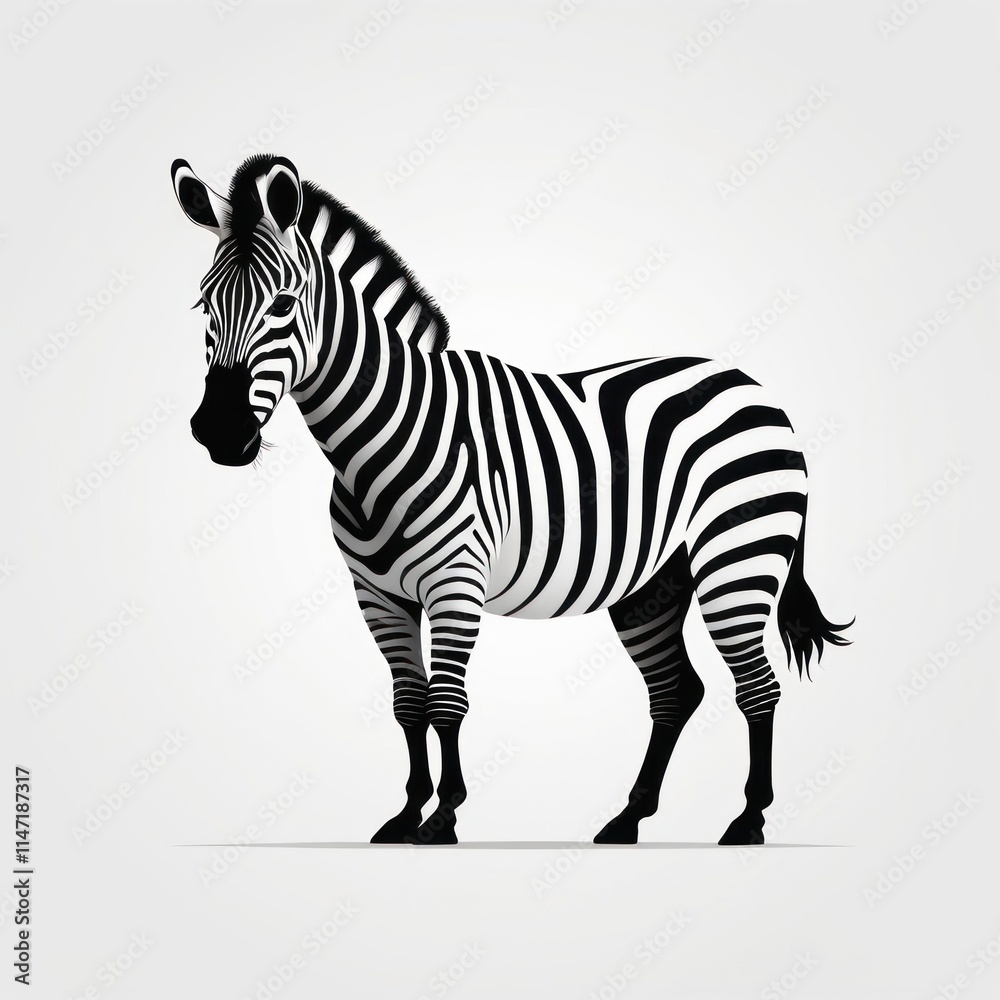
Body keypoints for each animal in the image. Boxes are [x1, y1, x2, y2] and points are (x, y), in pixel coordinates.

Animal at [171, 153, 851, 846]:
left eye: (284, 303)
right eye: (203, 302)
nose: (219, 431)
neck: (375, 447)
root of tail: (749, 383)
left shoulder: (455, 581)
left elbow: (446, 701)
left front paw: (443, 816)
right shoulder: (377, 596)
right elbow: (408, 704)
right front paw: (407, 814)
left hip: (738, 558)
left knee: (757, 687)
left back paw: (748, 819)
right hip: (655, 584)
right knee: (675, 691)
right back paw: (628, 817)